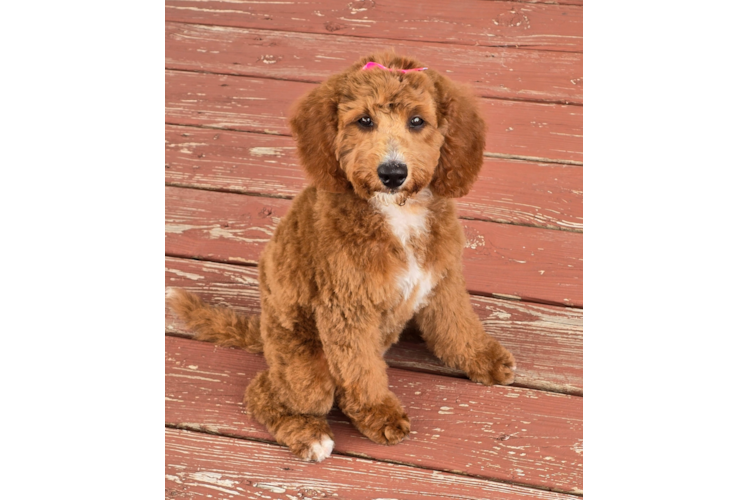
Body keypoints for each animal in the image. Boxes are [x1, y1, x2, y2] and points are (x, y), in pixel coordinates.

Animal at [167, 52, 516, 462]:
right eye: (364, 120)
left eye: (417, 121)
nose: (393, 173)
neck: (397, 213)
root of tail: (264, 333)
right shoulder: (347, 310)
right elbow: (361, 371)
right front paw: (380, 413)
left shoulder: (442, 280)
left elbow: (458, 325)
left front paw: (482, 358)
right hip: (307, 371)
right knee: (263, 390)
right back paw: (309, 435)